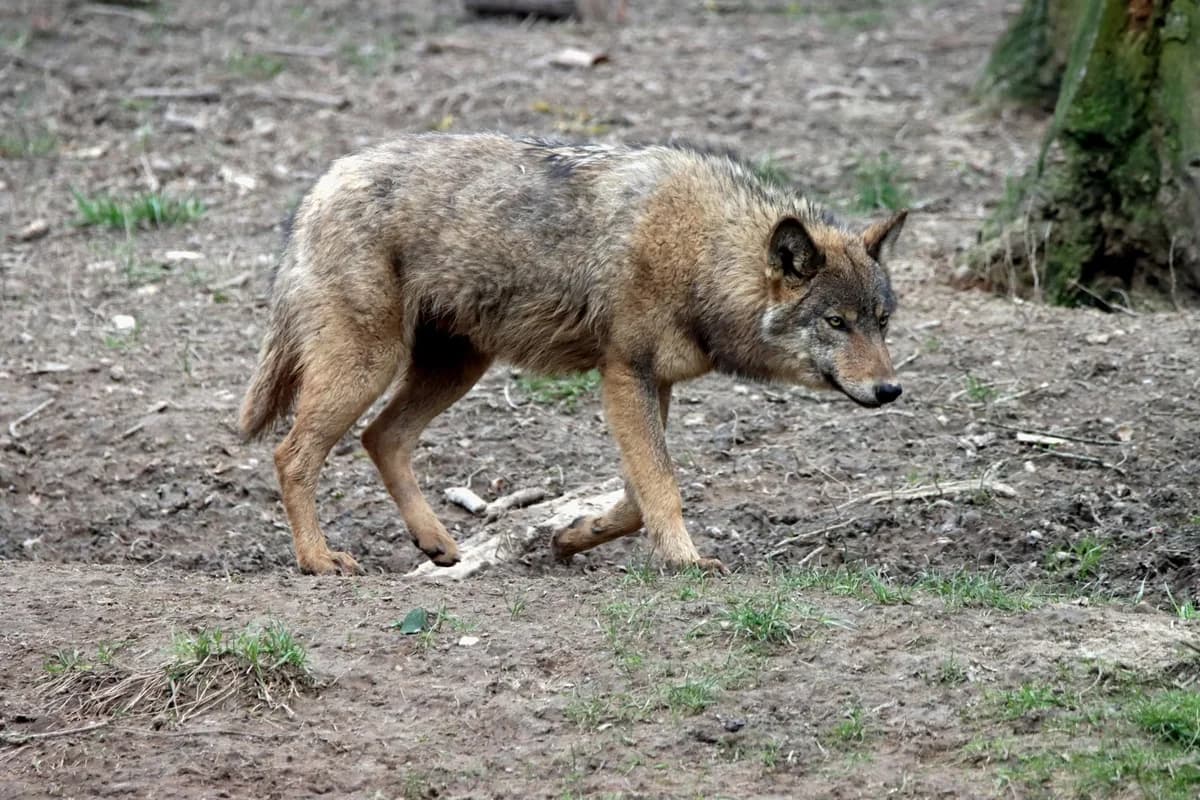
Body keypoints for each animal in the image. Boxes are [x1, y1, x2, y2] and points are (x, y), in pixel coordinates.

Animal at [240, 133, 906, 576]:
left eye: (881, 323)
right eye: (836, 323)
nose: (890, 390)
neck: (702, 253)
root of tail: (320, 185)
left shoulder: (654, 383)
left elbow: (638, 496)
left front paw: (572, 536)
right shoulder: (625, 375)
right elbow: (662, 484)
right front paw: (687, 562)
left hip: (457, 368)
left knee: (382, 437)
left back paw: (437, 544)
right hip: (371, 366)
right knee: (292, 454)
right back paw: (318, 560)